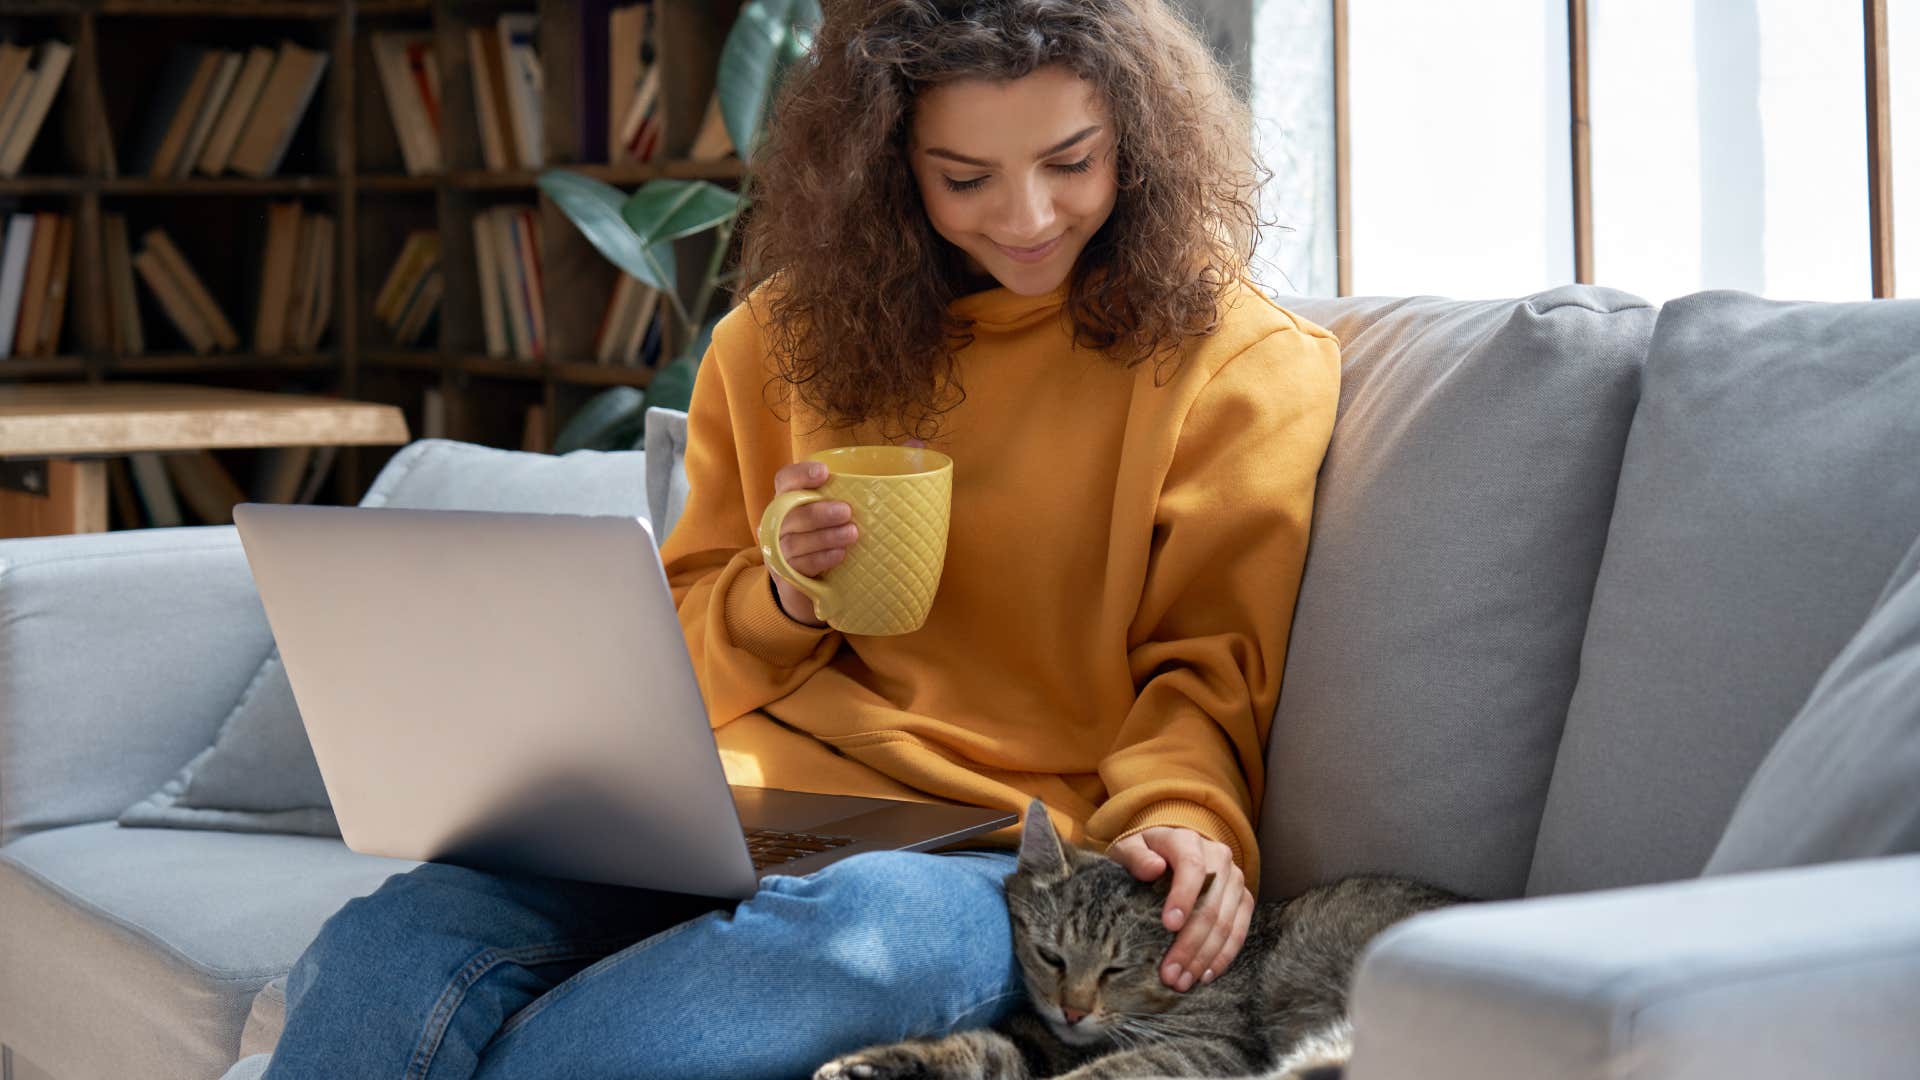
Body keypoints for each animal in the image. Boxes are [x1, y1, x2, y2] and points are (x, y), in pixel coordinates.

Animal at [810, 795, 1451, 1068]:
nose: (1072, 1010)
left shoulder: (1213, 1048)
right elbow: (982, 1047)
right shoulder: (1037, 1039)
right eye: (1051, 957)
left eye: (1116, 969)